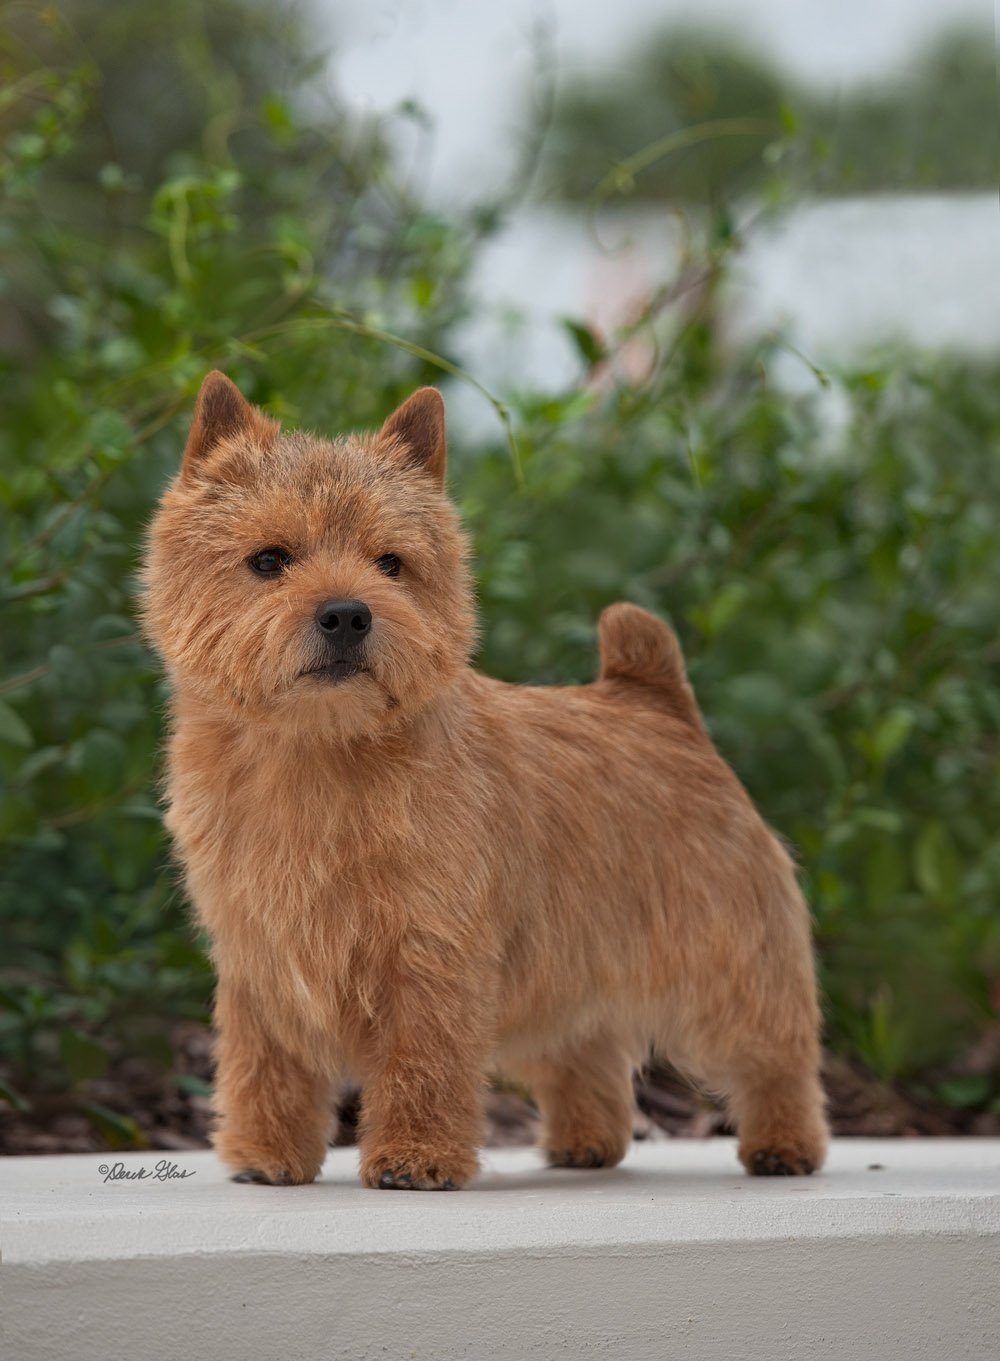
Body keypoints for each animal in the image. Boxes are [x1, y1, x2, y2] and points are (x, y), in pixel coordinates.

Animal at [142, 375, 827, 1192]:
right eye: (269, 560)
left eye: (390, 564)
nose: (347, 614)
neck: (317, 754)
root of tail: (659, 702)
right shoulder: (260, 960)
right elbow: (263, 1064)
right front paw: (265, 1155)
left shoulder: (430, 954)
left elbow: (423, 1063)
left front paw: (415, 1158)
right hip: (572, 969)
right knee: (587, 1058)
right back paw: (584, 1145)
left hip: (727, 962)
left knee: (774, 1055)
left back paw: (785, 1146)